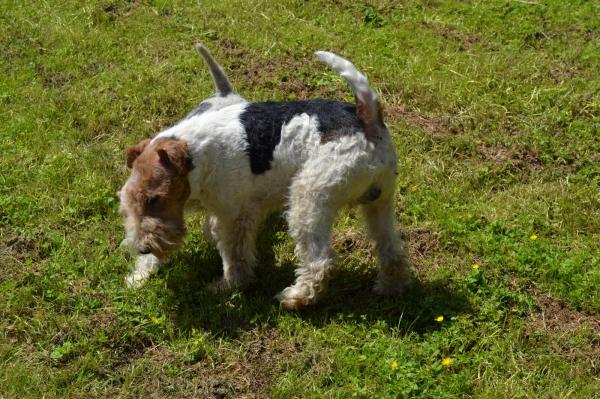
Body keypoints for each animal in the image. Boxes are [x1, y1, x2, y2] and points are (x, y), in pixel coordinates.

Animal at [118, 44, 410, 312]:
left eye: (154, 199)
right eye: (126, 204)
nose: (142, 248)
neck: (195, 154)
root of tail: (367, 118)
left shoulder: (234, 215)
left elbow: (234, 254)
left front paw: (229, 285)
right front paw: (139, 276)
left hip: (309, 199)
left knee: (320, 263)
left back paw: (294, 298)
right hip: (379, 201)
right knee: (392, 251)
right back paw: (389, 289)